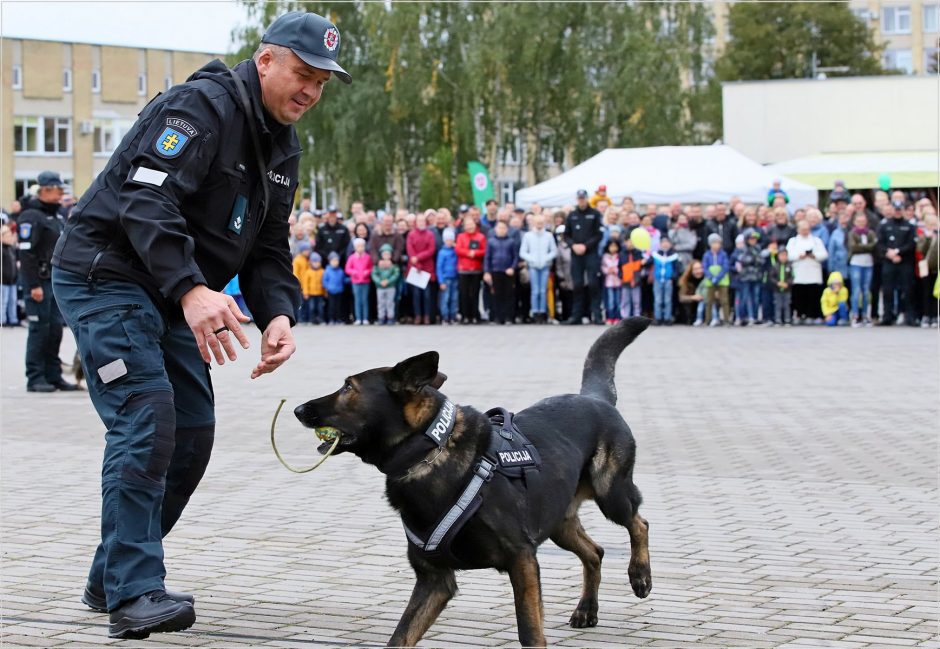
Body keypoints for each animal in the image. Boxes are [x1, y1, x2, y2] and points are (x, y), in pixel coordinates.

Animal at [296, 316, 652, 644]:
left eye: (348, 387)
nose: (299, 409)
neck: (430, 450)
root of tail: (595, 398)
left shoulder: (522, 559)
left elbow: (529, 630)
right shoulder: (435, 580)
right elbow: (400, 636)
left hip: (611, 494)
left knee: (639, 523)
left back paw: (640, 575)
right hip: (558, 524)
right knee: (595, 552)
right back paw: (587, 609)